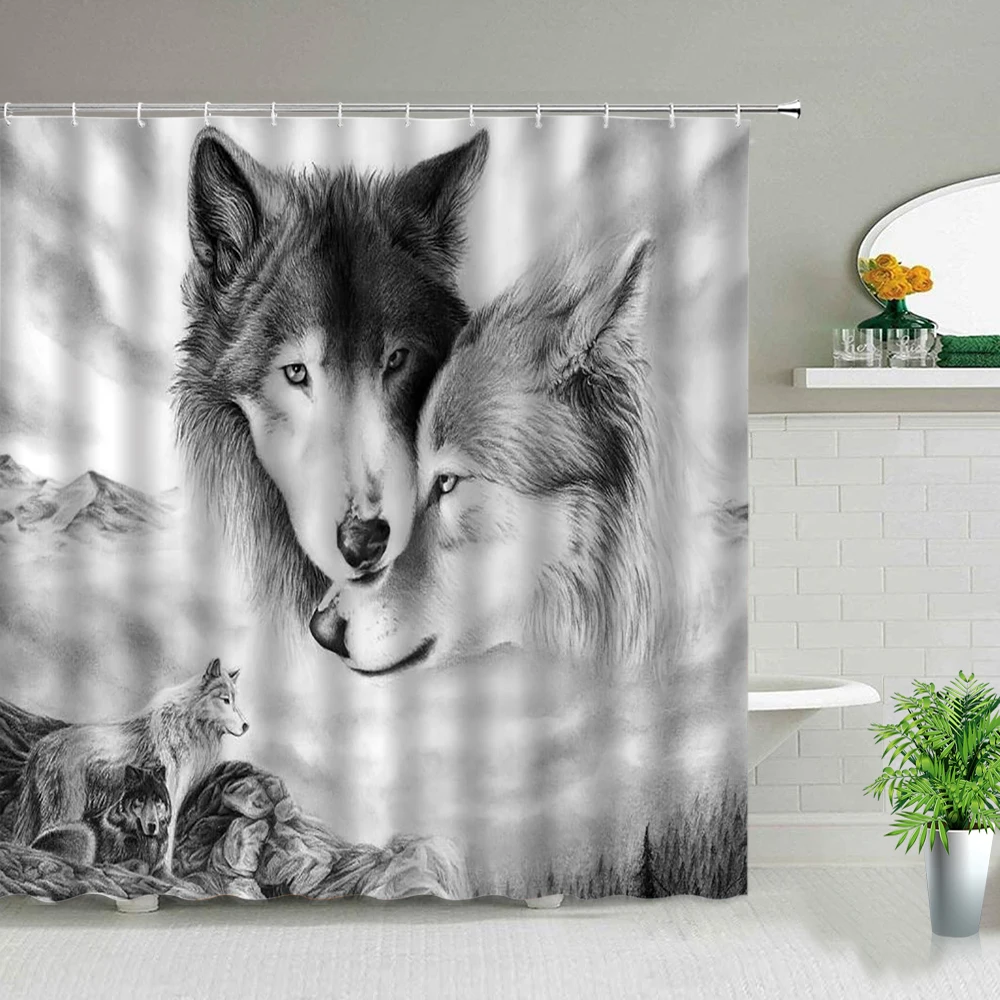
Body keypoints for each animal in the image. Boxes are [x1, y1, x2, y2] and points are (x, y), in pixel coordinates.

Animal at [31, 764, 171, 873]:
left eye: (157, 799)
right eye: (140, 799)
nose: (152, 826)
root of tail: (32, 846)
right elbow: (142, 865)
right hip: (86, 833)